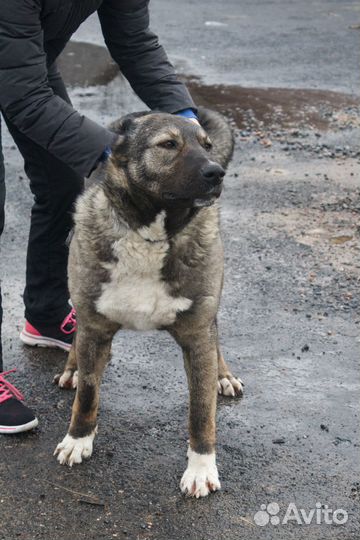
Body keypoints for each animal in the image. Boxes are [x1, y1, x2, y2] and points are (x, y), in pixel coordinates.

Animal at [53, 105, 243, 498]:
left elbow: (201, 410)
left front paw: (201, 467)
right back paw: (73, 368)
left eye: (206, 145)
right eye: (168, 144)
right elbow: (88, 395)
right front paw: (79, 439)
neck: (150, 234)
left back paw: (223, 375)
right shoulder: (95, 325)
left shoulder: (198, 334)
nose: (216, 173)